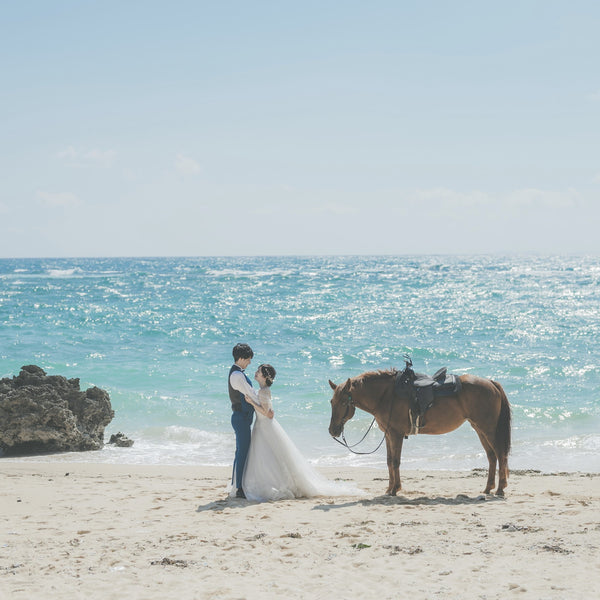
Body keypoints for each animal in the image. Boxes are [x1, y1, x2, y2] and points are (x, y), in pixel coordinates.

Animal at [328, 368, 510, 494]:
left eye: (343, 402)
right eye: (331, 401)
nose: (332, 430)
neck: (386, 396)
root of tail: (491, 383)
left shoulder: (396, 434)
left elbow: (395, 462)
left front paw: (395, 489)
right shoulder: (388, 435)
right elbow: (389, 461)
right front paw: (389, 489)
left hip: (488, 429)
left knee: (500, 454)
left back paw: (500, 489)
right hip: (479, 429)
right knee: (492, 456)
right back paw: (488, 488)